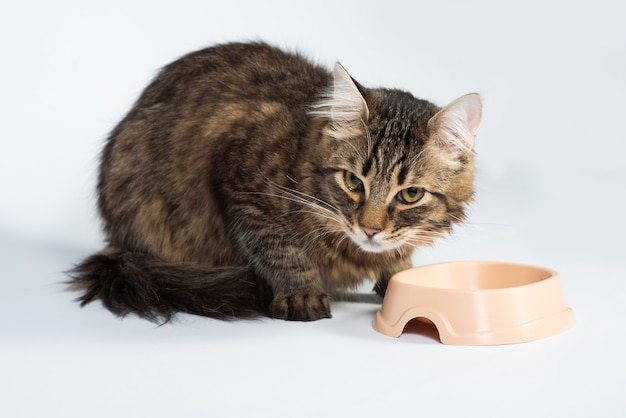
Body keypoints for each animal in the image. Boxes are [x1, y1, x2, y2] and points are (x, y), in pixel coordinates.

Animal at [68, 41, 480, 324]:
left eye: (410, 194)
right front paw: (302, 294)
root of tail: (117, 248)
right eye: (352, 182)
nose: (370, 229)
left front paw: (402, 278)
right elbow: (280, 247)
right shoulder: (241, 181)